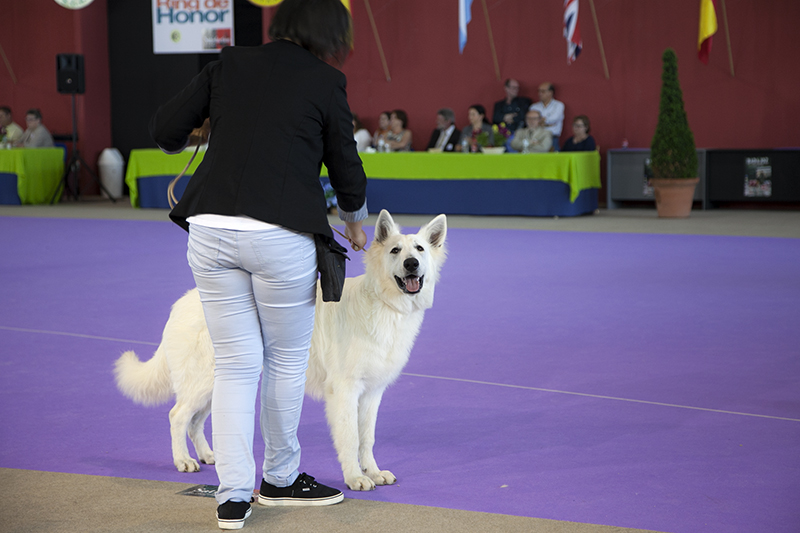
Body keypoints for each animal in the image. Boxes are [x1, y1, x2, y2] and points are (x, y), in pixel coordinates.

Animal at [115, 209, 446, 490]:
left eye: (419, 250)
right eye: (395, 251)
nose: (411, 264)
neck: (383, 304)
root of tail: (181, 303)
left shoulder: (372, 394)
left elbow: (367, 438)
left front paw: (374, 472)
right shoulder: (344, 391)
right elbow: (350, 438)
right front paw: (355, 477)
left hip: (217, 383)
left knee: (195, 421)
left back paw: (209, 456)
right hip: (203, 382)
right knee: (177, 416)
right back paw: (183, 460)